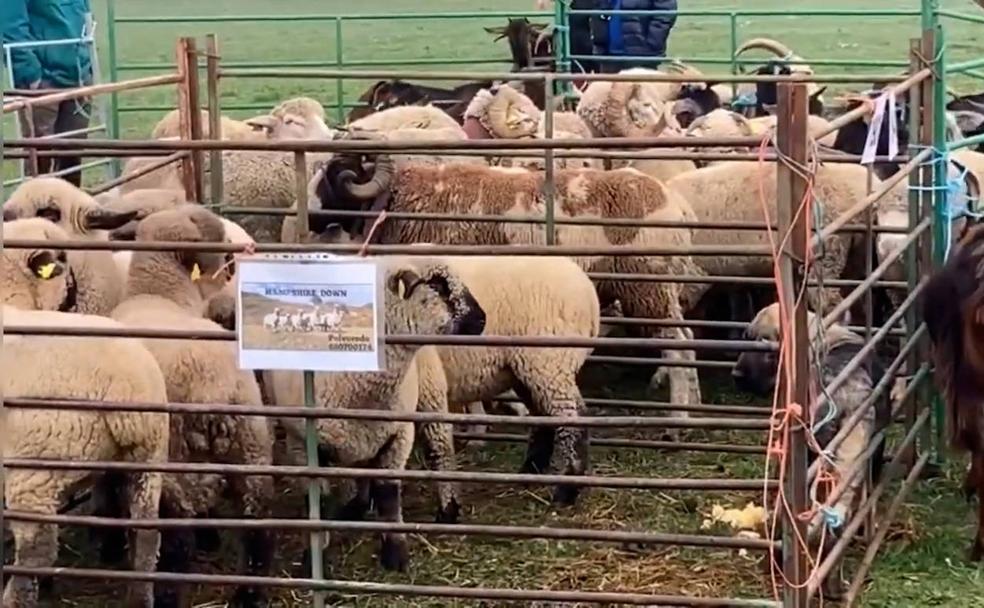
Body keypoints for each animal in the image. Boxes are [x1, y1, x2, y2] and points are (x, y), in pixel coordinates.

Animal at [266, 258, 488, 572]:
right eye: (437, 284)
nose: (482, 320)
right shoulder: (301, 443)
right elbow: (319, 501)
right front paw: (315, 556)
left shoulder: (399, 435)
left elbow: (388, 496)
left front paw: (395, 554)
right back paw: (356, 506)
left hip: (429, 390)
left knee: (440, 448)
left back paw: (448, 509)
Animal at [308, 137, 708, 414]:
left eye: (335, 176)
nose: (309, 215)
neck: (404, 202)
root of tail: (676, 206)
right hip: (659, 289)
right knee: (687, 339)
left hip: (647, 286)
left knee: (677, 344)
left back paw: (678, 419)